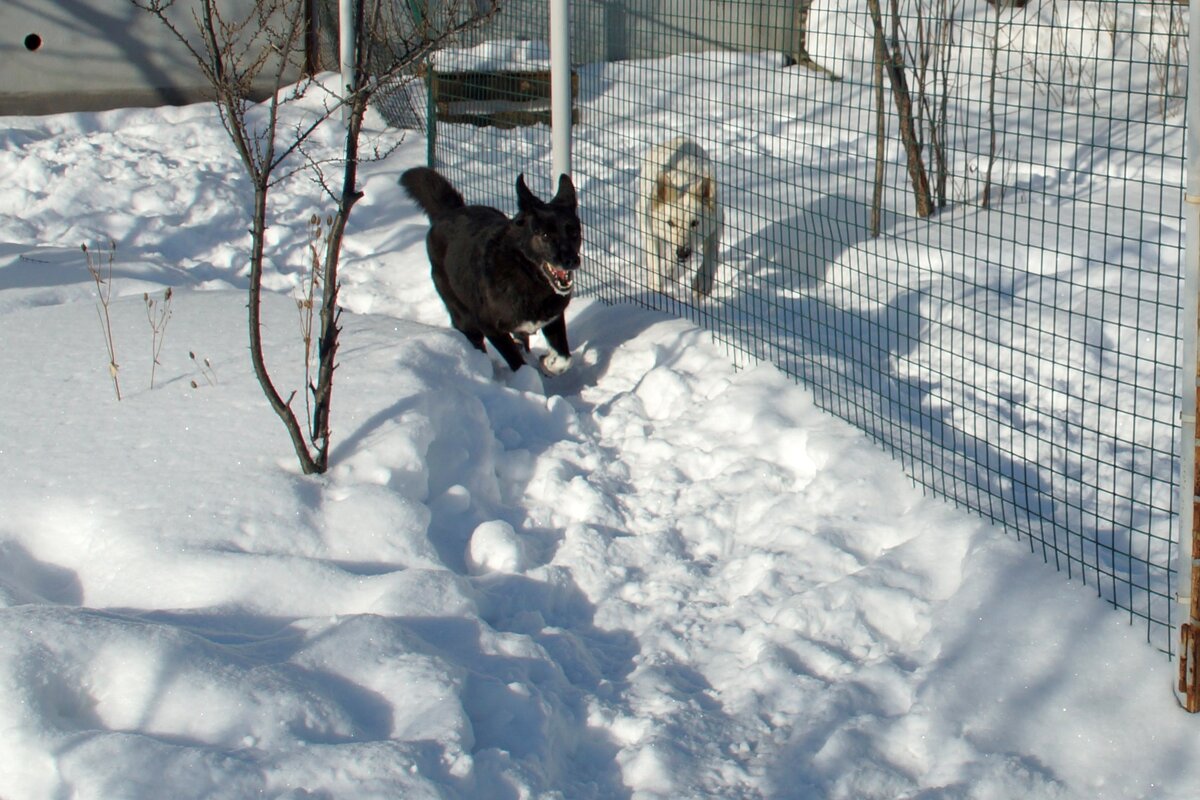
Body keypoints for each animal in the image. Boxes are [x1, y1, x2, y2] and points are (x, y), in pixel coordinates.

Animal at [400, 169, 583, 376]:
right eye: (544, 235)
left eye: (574, 232)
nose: (571, 261)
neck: (526, 273)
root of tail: (449, 212)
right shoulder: (490, 328)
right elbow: (517, 362)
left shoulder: (553, 317)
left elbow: (564, 358)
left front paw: (548, 363)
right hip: (463, 317)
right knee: (475, 343)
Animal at [638, 136, 720, 298]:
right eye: (670, 223)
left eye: (695, 223)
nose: (683, 252)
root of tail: (679, 138)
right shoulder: (649, 229)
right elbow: (654, 261)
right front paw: (656, 290)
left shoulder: (717, 222)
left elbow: (711, 252)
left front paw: (703, 281)